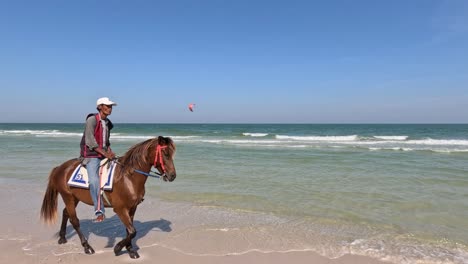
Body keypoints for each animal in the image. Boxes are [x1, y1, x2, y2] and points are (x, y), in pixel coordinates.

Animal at [39, 136, 176, 258]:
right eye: (165, 153)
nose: (172, 176)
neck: (128, 178)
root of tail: (60, 168)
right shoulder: (120, 209)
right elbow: (133, 231)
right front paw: (118, 248)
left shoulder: (132, 208)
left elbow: (130, 230)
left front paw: (130, 250)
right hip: (68, 197)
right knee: (74, 221)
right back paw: (87, 247)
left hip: (74, 198)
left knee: (65, 213)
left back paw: (62, 238)